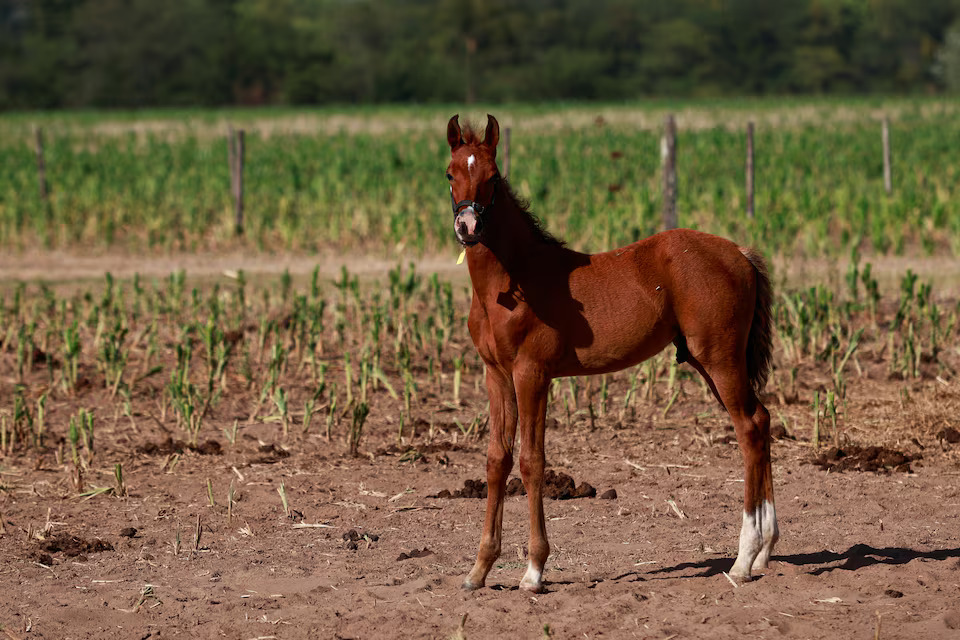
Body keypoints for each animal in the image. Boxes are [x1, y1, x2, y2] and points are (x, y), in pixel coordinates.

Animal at [450, 115, 780, 596]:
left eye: (492, 177)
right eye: (450, 173)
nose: (468, 226)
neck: (513, 283)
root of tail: (739, 252)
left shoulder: (532, 373)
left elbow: (531, 461)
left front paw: (534, 571)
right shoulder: (496, 374)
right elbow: (497, 460)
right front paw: (478, 570)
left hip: (720, 358)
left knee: (750, 428)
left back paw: (743, 558)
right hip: (708, 362)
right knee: (762, 419)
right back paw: (765, 550)